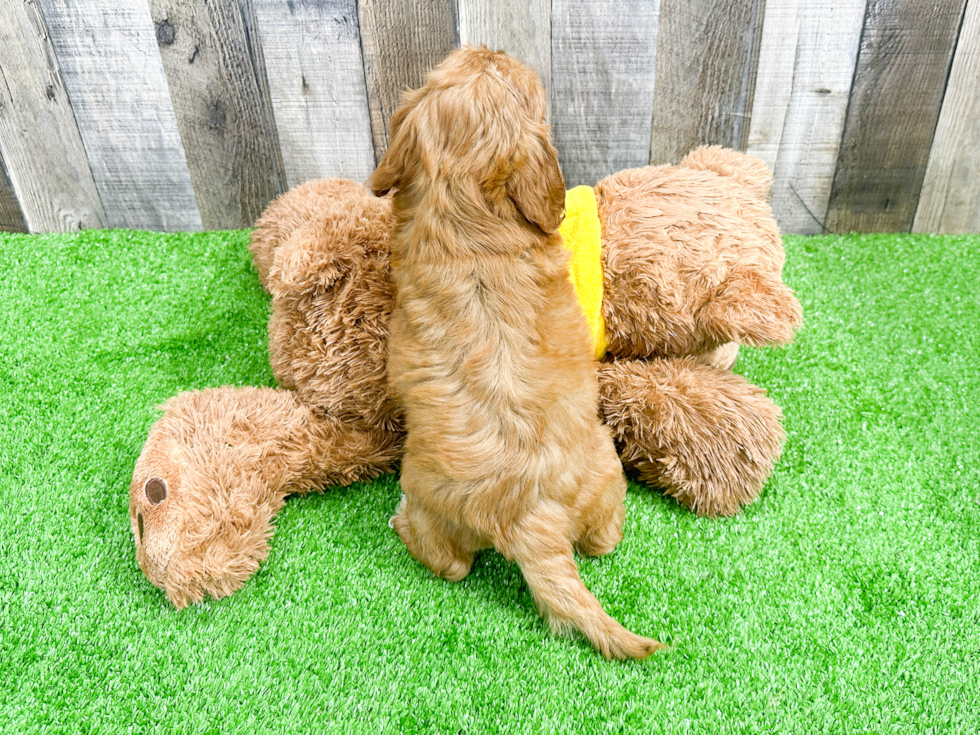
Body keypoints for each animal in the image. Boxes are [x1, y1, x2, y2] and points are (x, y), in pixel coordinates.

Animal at [372, 49, 664, 664]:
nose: (493, 48)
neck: (469, 217)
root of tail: (528, 516)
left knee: (454, 566)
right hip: (602, 468)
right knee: (596, 542)